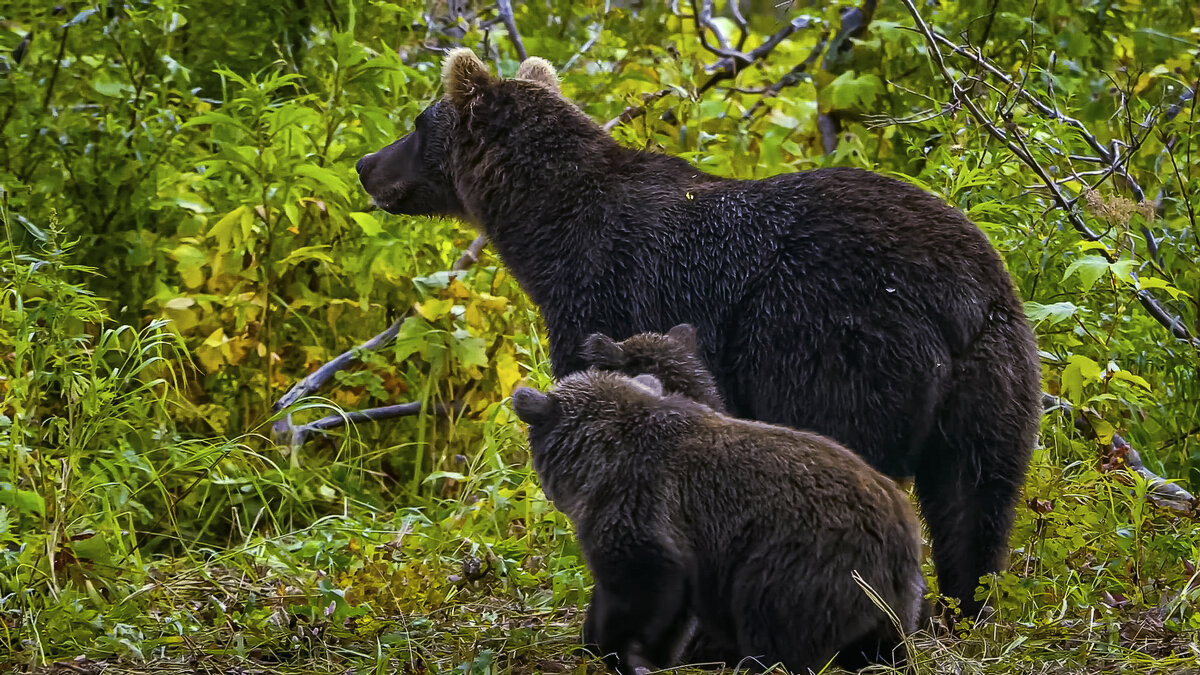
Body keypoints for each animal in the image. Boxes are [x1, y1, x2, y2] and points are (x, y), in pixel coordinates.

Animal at [355, 47, 1041, 614]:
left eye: (418, 122)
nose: (365, 163)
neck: (547, 234)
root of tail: (956, 293)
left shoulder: (600, 292)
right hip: (998, 368)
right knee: (976, 496)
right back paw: (965, 604)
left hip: (831, 338)